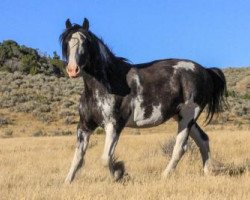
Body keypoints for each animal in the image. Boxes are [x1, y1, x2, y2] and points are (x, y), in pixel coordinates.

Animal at [60, 18, 227, 183]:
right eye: (66, 42)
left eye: (85, 42)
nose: (73, 70)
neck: (104, 85)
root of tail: (205, 71)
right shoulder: (84, 126)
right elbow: (77, 158)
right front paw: (67, 182)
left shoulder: (114, 125)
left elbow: (105, 158)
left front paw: (119, 173)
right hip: (181, 117)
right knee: (203, 139)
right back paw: (207, 172)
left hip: (188, 117)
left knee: (180, 147)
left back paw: (165, 175)